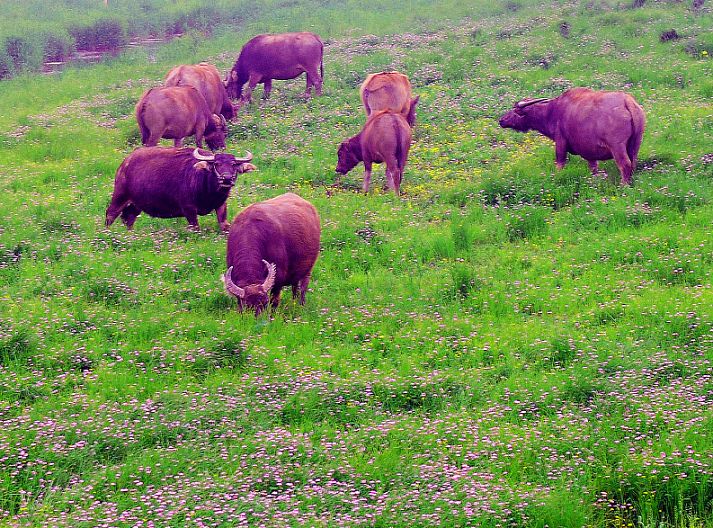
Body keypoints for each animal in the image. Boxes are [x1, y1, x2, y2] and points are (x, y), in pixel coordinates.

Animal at [105, 147, 256, 232]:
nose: (227, 179)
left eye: (233, 165)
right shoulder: (188, 208)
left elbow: (224, 225)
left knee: (128, 217)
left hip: (136, 204)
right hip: (120, 196)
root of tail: (124, 163)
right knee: (111, 214)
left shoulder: (221, 205)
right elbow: (195, 227)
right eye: (216, 164)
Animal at [496, 86, 644, 184]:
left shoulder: (560, 142)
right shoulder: (589, 151)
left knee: (625, 165)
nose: (501, 120)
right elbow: (593, 167)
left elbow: (560, 162)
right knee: (633, 164)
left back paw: (623, 185)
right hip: (635, 145)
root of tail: (627, 102)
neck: (553, 111)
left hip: (617, 147)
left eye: (515, 110)